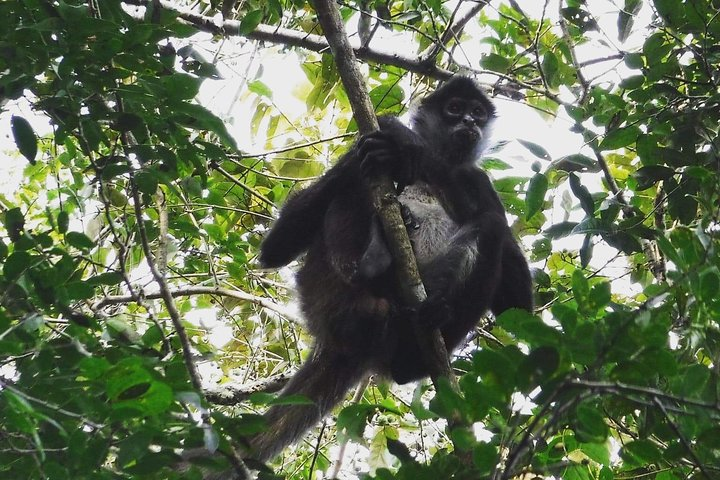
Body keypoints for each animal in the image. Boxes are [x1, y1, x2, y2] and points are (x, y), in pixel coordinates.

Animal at [249, 76, 533, 463]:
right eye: (454, 109)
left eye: (477, 112)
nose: (469, 123)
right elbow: (275, 250)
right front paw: (396, 135)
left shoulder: (479, 180)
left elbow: (519, 307)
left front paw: (409, 146)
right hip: (324, 287)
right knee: (353, 186)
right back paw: (377, 259)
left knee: (489, 225)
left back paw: (421, 332)